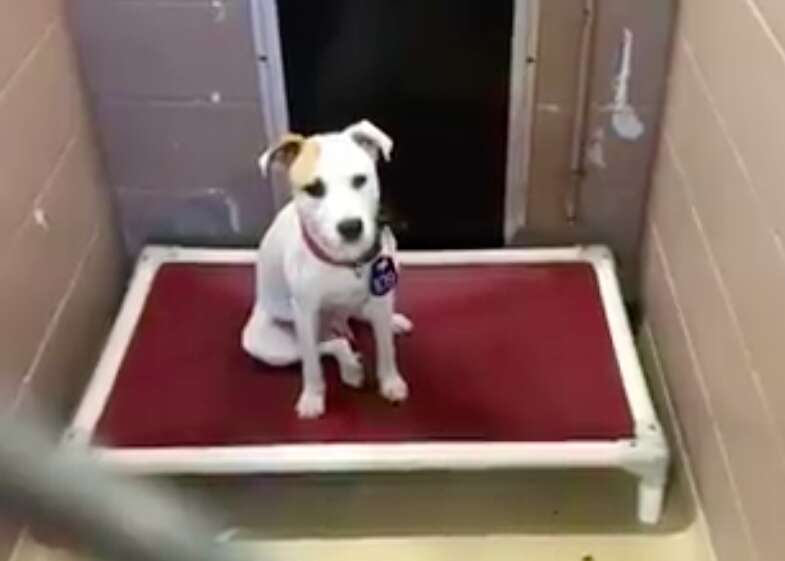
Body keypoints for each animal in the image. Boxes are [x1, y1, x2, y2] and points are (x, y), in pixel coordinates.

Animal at [242, 119, 414, 416]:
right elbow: (312, 366)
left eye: (360, 180)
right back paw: (349, 366)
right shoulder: (305, 312)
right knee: (327, 345)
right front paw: (313, 397)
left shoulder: (381, 295)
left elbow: (387, 350)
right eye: (313, 189)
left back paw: (389, 323)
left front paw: (390, 381)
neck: (347, 262)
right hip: (268, 343)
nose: (351, 227)